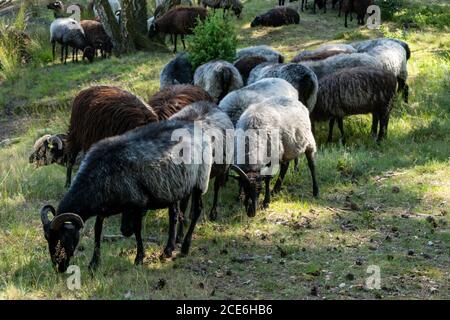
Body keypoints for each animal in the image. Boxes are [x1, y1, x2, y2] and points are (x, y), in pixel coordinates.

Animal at [38, 102, 223, 270]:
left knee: (196, 210)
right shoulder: (104, 208)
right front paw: (94, 263)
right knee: (174, 215)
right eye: (47, 238)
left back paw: (184, 248)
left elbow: (137, 230)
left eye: (63, 237)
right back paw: (168, 250)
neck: (96, 176)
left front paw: (139, 258)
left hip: (200, 180)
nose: (59, 267)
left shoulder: (138, 203)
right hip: (173, 188)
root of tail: (197, 125)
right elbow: (98, 231)